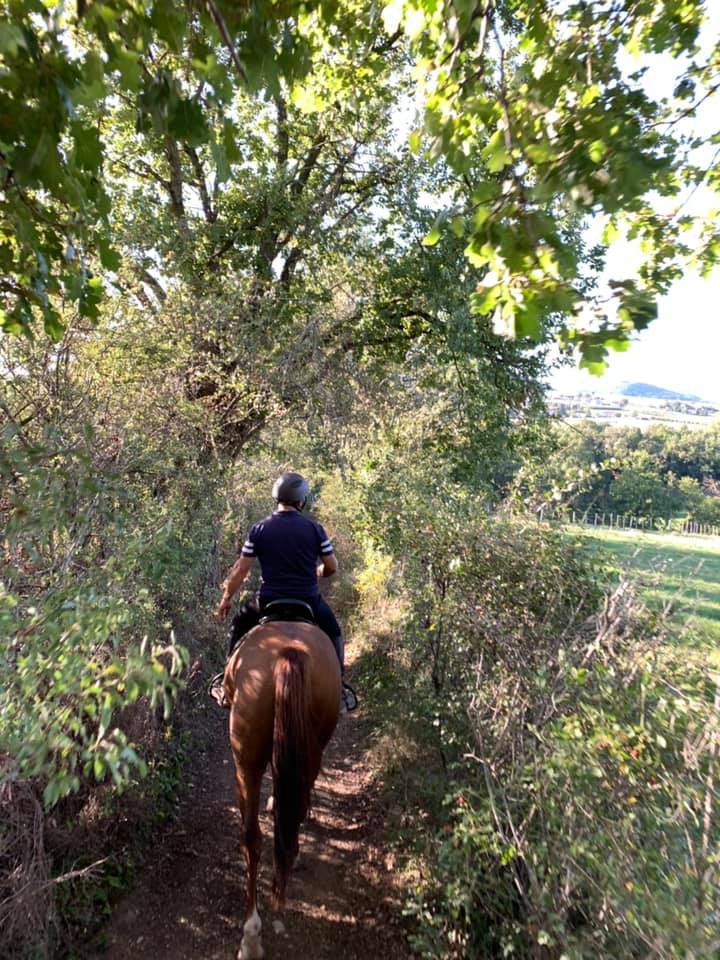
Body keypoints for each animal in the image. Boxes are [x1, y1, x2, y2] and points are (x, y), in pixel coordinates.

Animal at [222, 616, 340, 960]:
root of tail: (289, 652)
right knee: (287, 811)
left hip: (247, 760)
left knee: (252, 837)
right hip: (310, 746)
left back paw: (250, 937)